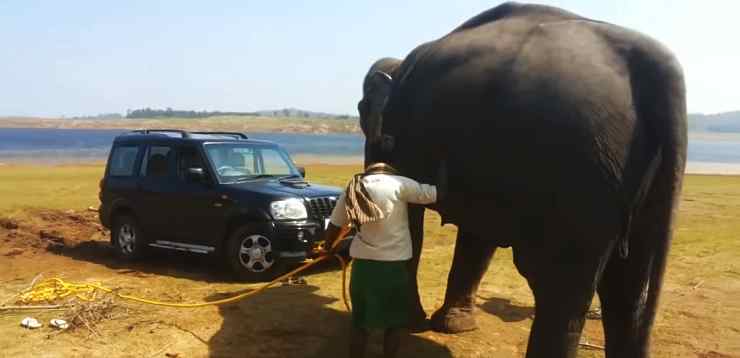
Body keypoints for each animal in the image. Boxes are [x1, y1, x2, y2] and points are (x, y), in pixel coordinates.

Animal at [358, 2, 688, 358]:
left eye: (361, 109)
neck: (399, 63)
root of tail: (660, 69)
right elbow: (477, 234)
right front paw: (454, 325)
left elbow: (412, 217)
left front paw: (413, 321)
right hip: (644, 178)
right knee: (627, 293)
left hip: (577, 173)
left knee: (559, 288)